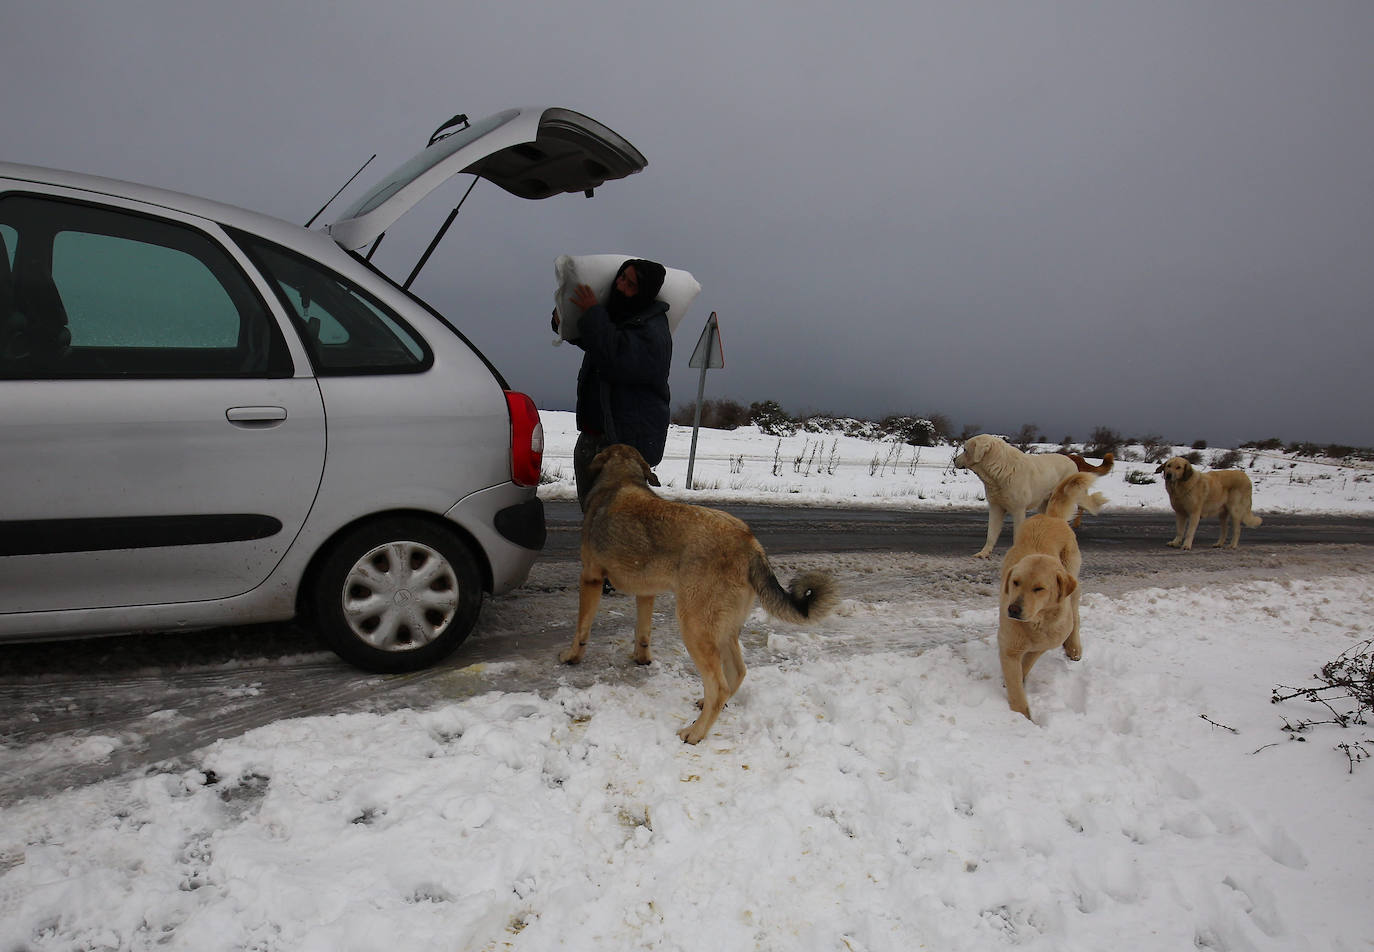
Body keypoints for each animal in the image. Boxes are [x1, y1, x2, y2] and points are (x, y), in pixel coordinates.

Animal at [557, 442, 835, 747]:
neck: (621, 480)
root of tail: (749, 543)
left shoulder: (590, 579)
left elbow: (582, 629)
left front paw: (572, 656)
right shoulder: (646, 593)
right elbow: (642, 633)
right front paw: (641, 658)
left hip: (694, 627)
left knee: (719, 686)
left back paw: (696, 732)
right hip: (722, 629)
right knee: (737, 672)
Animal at [956, 431, 1104, 557]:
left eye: (965, 450)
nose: (953, 460)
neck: (999, 469)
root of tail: (1072, 461)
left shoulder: (1018, 510)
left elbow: (1016, 534)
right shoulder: (996, 508)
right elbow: (991, 534)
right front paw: (984, 553)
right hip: (1044, 503)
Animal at [1000, 472, 1104, 714]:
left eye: (1039, 588)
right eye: (1016, 582)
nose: (1013, 609)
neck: (1037, 623)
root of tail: (1051, 517)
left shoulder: (1042, 645)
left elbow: (1027, 663)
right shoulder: (1009, 647)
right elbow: (1016, 682)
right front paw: (1022, 715)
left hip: (1073, 580)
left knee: (1075, 616)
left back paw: (1074, 647)